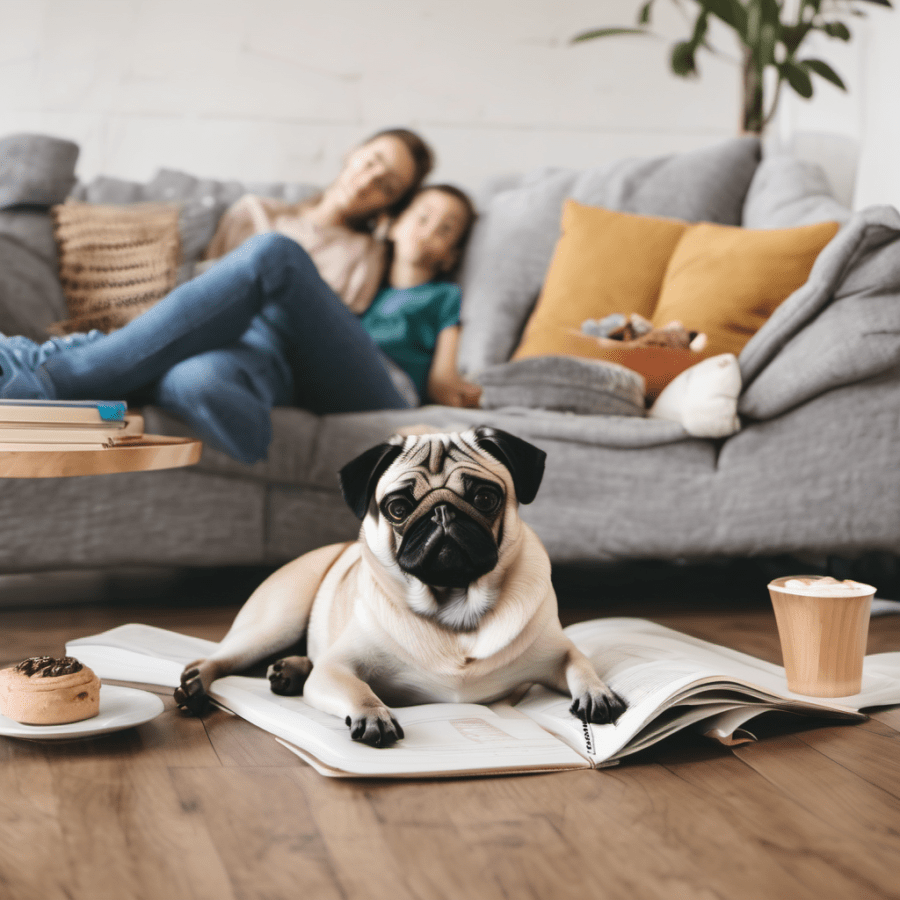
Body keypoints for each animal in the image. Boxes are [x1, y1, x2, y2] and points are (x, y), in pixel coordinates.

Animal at [176, 428, 624, 744]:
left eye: (485, 498)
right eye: (398, 508)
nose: (442, 512)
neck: (455, 605)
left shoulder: (557, 652)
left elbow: (581, 663)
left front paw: (597, 692)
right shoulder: (338, 668)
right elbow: (358, 688)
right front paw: (373, 714)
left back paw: (289, 671)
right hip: (275, 622)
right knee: (215, 658)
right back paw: (196, 686)